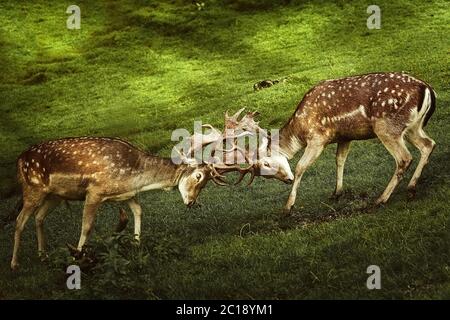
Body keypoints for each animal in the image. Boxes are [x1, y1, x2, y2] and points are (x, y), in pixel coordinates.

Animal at [274, 72, 436, 212]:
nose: (288, 180)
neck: (299, 130)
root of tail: (428, 89)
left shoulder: (317, 139)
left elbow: (300, 167)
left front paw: (288, 207)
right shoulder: (345, 137)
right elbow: (340, 160)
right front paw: (336, 193)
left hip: (386, 126)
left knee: (404, 158)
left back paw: (381, 199)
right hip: (412, 127)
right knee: (428, 144)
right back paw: (411, 189)